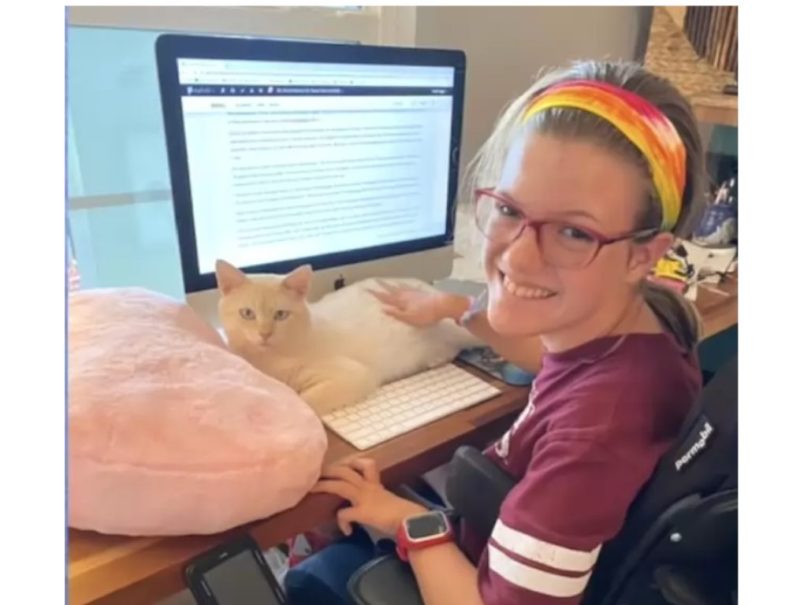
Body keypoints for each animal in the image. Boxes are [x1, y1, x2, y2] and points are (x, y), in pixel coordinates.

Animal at [214, 260, 482, 416]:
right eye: (247, 313)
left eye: (281, 315)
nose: (264, 333)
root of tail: (428, 287)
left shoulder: (355, 375)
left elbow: (306, 399)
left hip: (457, 326)